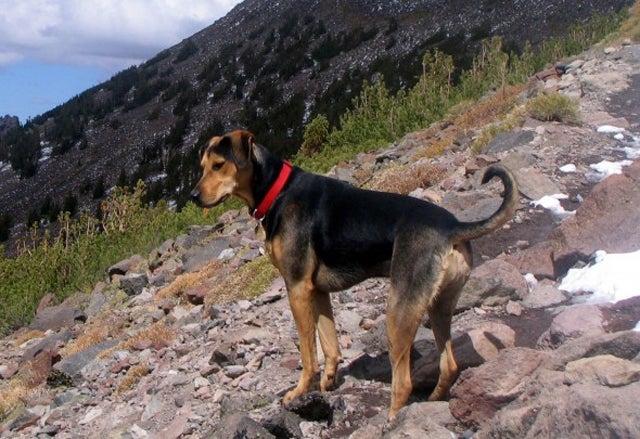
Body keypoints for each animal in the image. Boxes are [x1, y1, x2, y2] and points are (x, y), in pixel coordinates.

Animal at [190, 129, 520, 418]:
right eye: (202, 167)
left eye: (218, 165)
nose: (193, 196)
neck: (276, 190)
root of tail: (452, 227)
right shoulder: (317, 290)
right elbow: (330, 343)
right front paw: (329, 381)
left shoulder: (297, 287)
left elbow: (309, 354)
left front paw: (300, 391)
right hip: (438, 305)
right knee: (449, 365)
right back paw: (434, 400)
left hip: (399, 310)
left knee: (404, 382)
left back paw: (393, 420)